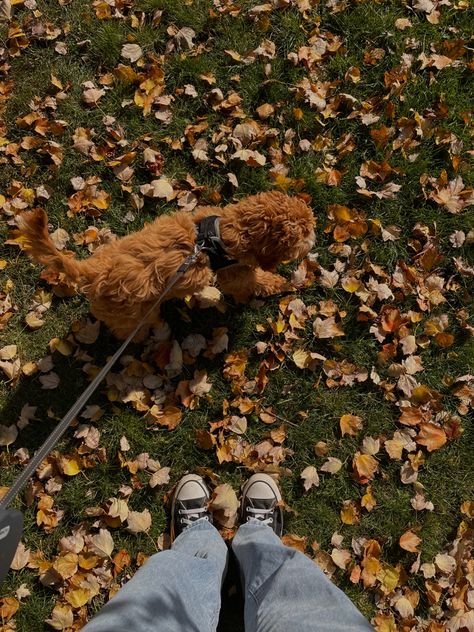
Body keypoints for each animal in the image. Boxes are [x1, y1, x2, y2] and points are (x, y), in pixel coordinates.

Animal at [17, 193, 314, 340]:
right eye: (304, 232)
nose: (314, 237)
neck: (226, 230)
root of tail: (92, 271)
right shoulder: (235, 274)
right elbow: (256, 282)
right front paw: (280, 283)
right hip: (134, 316)